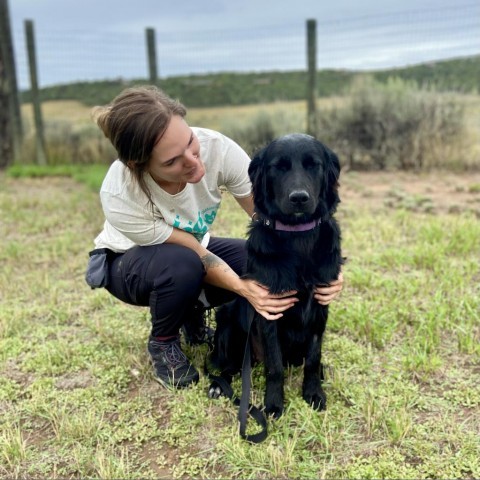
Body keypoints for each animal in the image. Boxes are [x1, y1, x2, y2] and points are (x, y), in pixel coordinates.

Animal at [209, 132, 342, 420]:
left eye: (313, 165)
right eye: (278, 167)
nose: (299, 198)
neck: (297, 237)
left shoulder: (320, 307)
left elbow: (313, 359)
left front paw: (313, 393)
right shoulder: (269, 311)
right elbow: (275, 366)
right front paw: (273, 404)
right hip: (227, 320)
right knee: (230, 366)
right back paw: (218, 385)